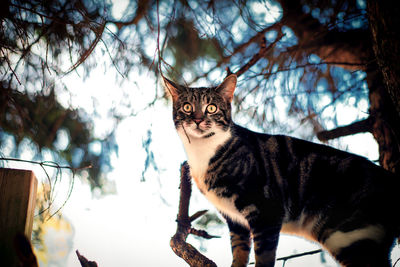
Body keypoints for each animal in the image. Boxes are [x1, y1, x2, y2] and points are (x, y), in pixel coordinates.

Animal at [163, 74, 400, 267]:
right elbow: (239, 252)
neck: (203, 153)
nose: (198, 119)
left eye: (211, 107)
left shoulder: (266, 212)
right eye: (187, 107)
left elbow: (264, 258)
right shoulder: (236, 222)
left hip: (351, 236)